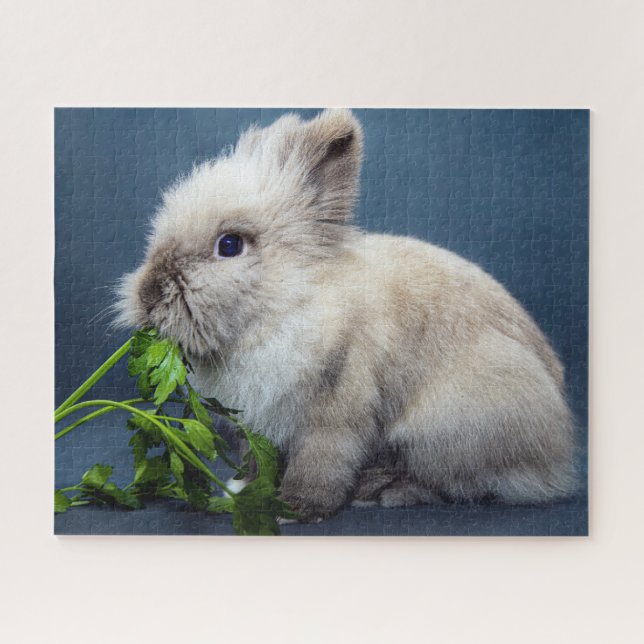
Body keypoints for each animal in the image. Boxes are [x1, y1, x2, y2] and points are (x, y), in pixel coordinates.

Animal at [116, 108, 577, 520]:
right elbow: (256, 462)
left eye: (229, 245)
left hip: (447, 427)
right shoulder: (258, 426)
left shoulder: (335, 413)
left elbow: (321, 464)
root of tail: (556, 457)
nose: (149, 295)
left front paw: (296, 509)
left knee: (456, 483)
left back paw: (385, 491)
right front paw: (239, 491)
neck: (286, 303)